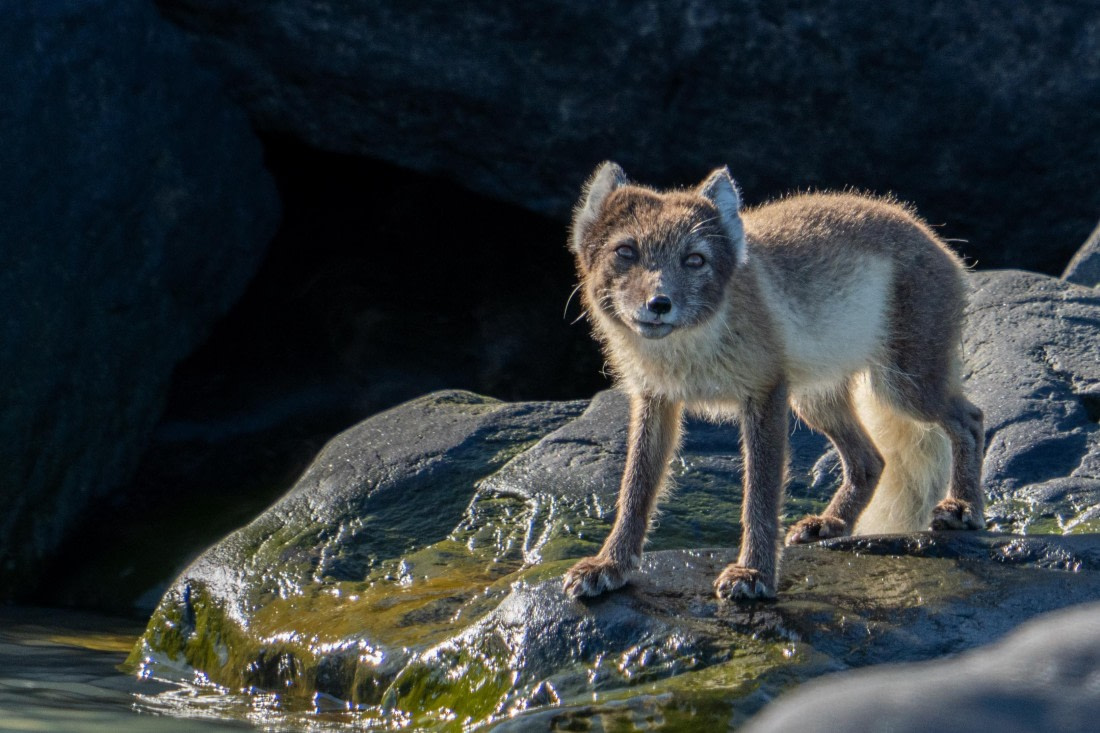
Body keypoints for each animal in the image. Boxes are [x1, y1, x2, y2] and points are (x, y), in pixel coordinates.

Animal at [562, 162, 985, 601]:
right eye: (625, 251)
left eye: (694, 259)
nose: (659, 304)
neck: (690, 355)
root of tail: (938, 240)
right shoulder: (655, 399)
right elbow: (635, 491)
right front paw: (610, 565)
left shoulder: (765, 393)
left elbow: (760, 497)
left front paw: (754, 573)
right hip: (817, 402)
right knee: (871, 461)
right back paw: (831, 524)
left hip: (904, 388)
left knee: (970, 420)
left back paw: (963, 508)